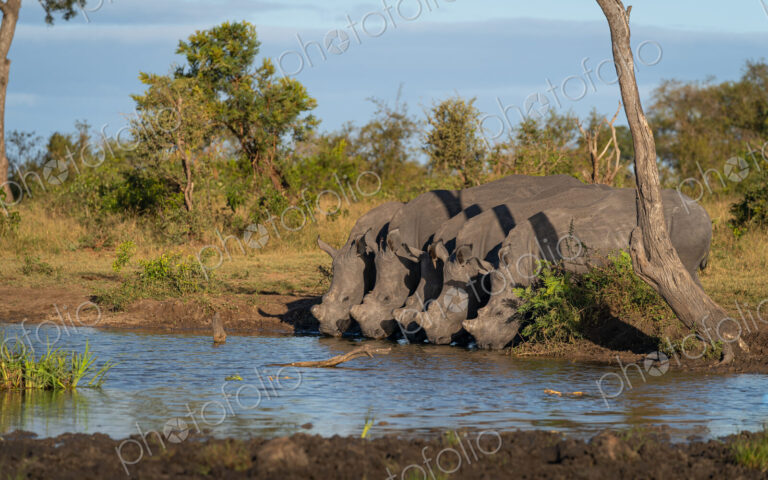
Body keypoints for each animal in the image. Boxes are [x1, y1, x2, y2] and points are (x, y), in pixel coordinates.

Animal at [463, 188, 713, 350]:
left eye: (499, 314)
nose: (485, 346)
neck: (518, 264)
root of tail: (705, 212)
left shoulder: (566, 274)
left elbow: (564, 304)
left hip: (686, 226)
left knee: (684, 272)